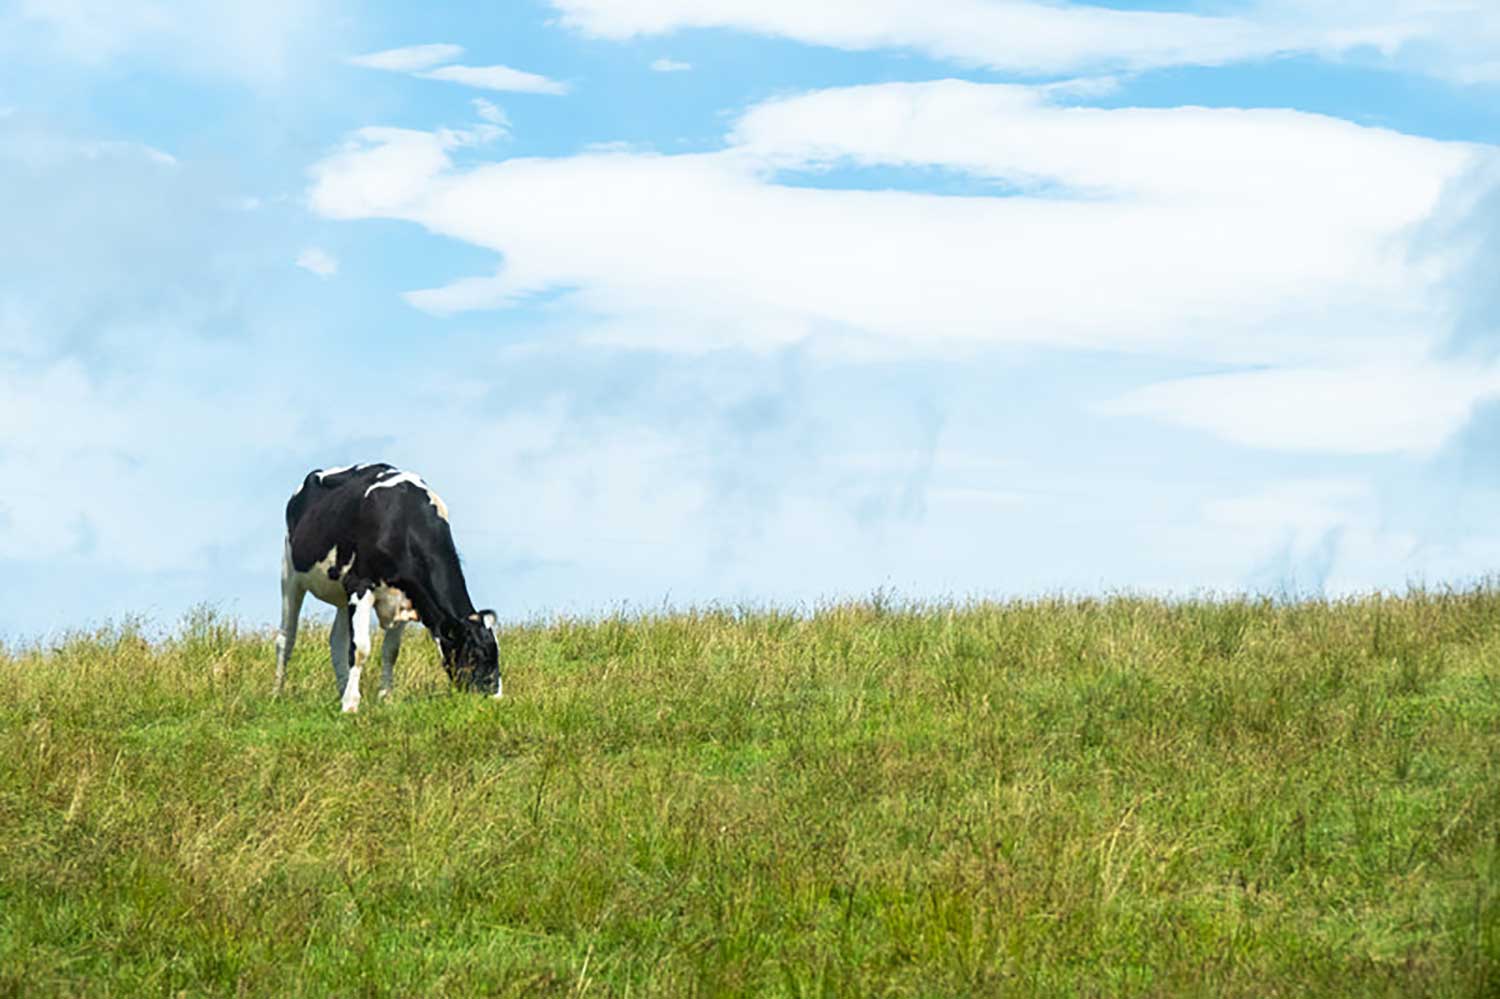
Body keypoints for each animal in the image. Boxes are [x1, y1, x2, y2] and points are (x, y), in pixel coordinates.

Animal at [273, 462, 501, 711]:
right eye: (475, 654)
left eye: (496, 653)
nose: (496, 700)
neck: (404, 521)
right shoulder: (360, 584)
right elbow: (361, 649)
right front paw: (351, 705)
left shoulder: (408, 595)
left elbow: (390, 651)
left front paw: (385, 699)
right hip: (289, 572)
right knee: (286, 638)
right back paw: (277, 693)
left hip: (343, 593)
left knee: (337, 642)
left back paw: (342, 689)